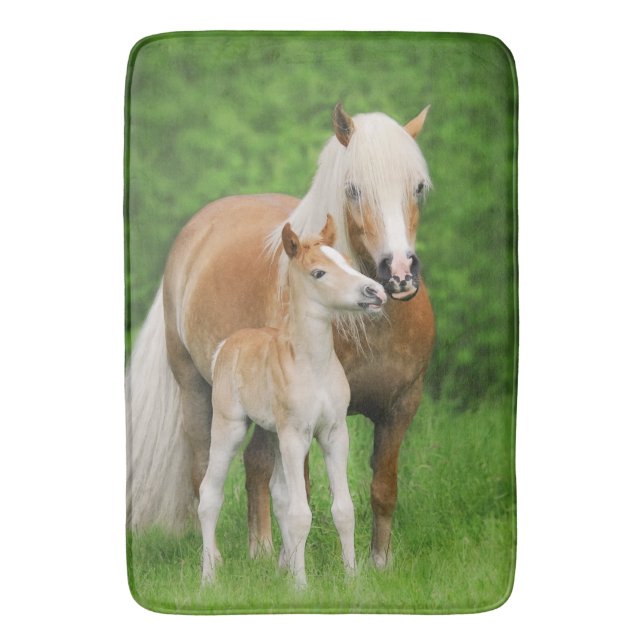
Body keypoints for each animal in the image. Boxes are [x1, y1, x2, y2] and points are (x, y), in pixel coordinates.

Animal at [199, 216, 387, 587]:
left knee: (279, 494)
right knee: (209, 493)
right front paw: (301, 586)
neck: (313, 365)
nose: (375, 292)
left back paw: (280, 568)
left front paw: (352, 579)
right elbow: (301, 513)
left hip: (272, 432)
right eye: (318, 272)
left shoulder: (334, 433)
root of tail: (227, 345)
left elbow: (342, 509)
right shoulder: (295, 435)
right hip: (230, 428)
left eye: (346, 261)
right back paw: (209, 577)